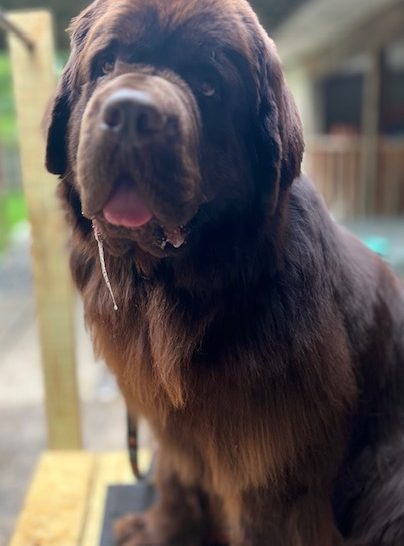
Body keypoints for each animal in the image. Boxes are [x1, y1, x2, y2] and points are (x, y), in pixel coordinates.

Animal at [44, 1, 404, 544]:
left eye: (208, 83)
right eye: (106, 65)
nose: (130, 114)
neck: (168, 292)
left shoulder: (273, 460)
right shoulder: (173, 431)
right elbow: (175, 479)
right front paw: (159, 531)